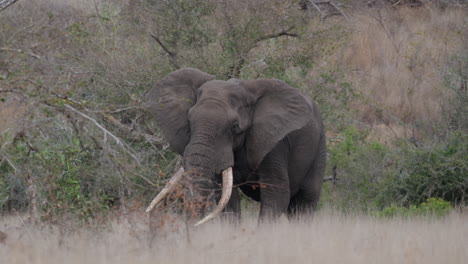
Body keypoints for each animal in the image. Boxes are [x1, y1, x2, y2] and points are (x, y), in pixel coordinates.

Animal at [145, 67, 326, 225]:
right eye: (189, 121)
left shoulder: (274, 142)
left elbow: (275, 193)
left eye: (234, 127)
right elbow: (226, 197)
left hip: (319, 146)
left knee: (305, 203)